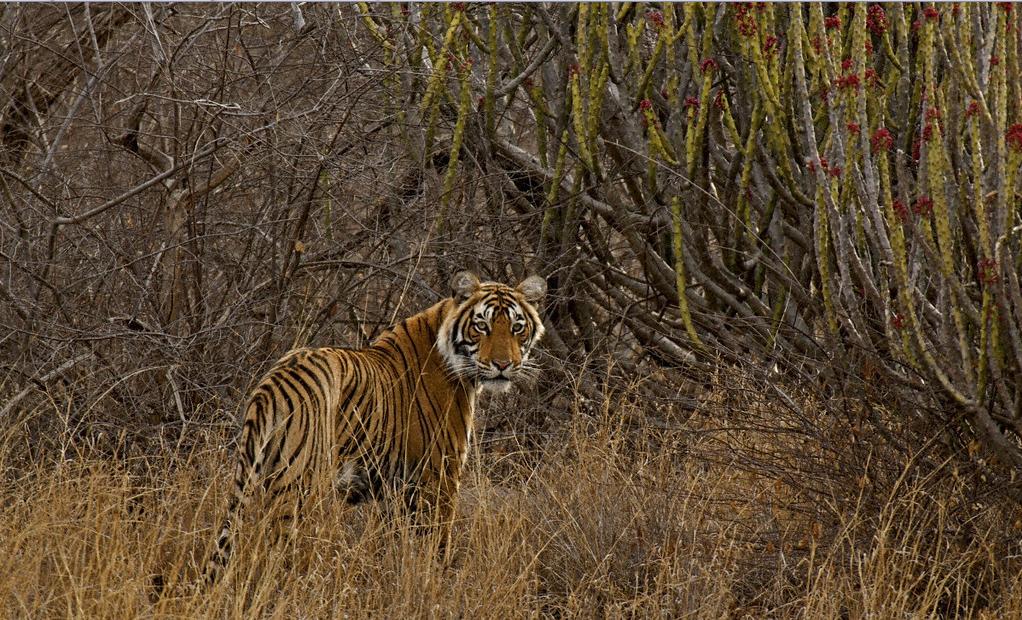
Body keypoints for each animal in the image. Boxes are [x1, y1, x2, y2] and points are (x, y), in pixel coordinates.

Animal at [203, 270, 547, 585]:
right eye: (481, 326)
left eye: (517, 327)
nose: (503, 365)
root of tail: (273, 383)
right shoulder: (438, 477)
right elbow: (436, 545)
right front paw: (434, 587)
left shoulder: (394, 490)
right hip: (299, 487)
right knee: (276, 556)